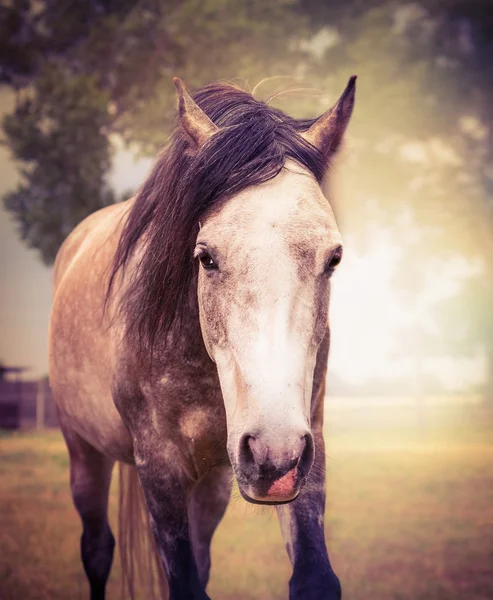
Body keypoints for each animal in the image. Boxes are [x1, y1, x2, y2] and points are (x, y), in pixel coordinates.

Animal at [48, 76, 356, 600]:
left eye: (333, 257)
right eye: (206, 257)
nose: (273, 456)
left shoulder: (304, 447)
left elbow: (314, 578)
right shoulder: (158, 466)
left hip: (215, 481)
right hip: (84, 452)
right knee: (97, 548)